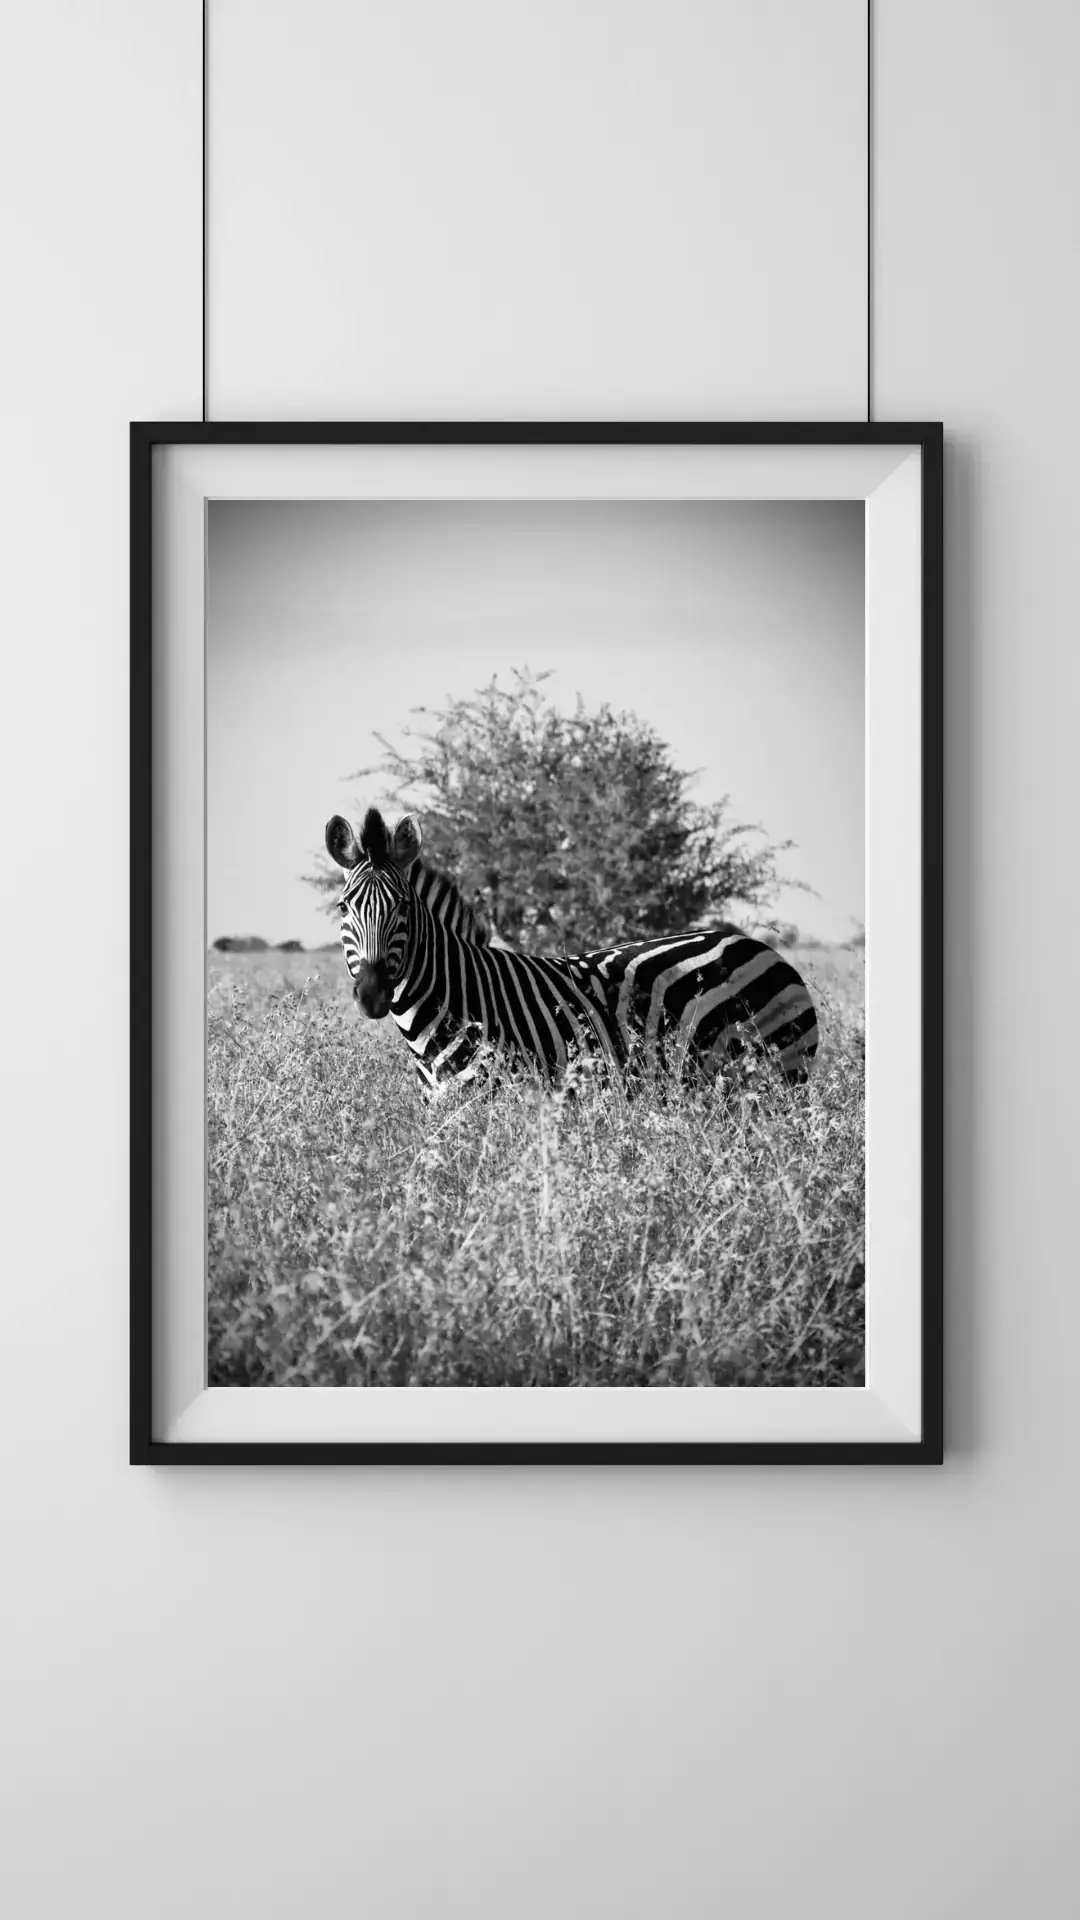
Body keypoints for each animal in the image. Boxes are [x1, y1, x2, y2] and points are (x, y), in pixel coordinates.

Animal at [325, 807, 818, 1096]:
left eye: (403, 908)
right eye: (344, 907)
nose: (371, 995)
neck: (455, 998)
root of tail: (759, 946)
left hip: (779, 1077)